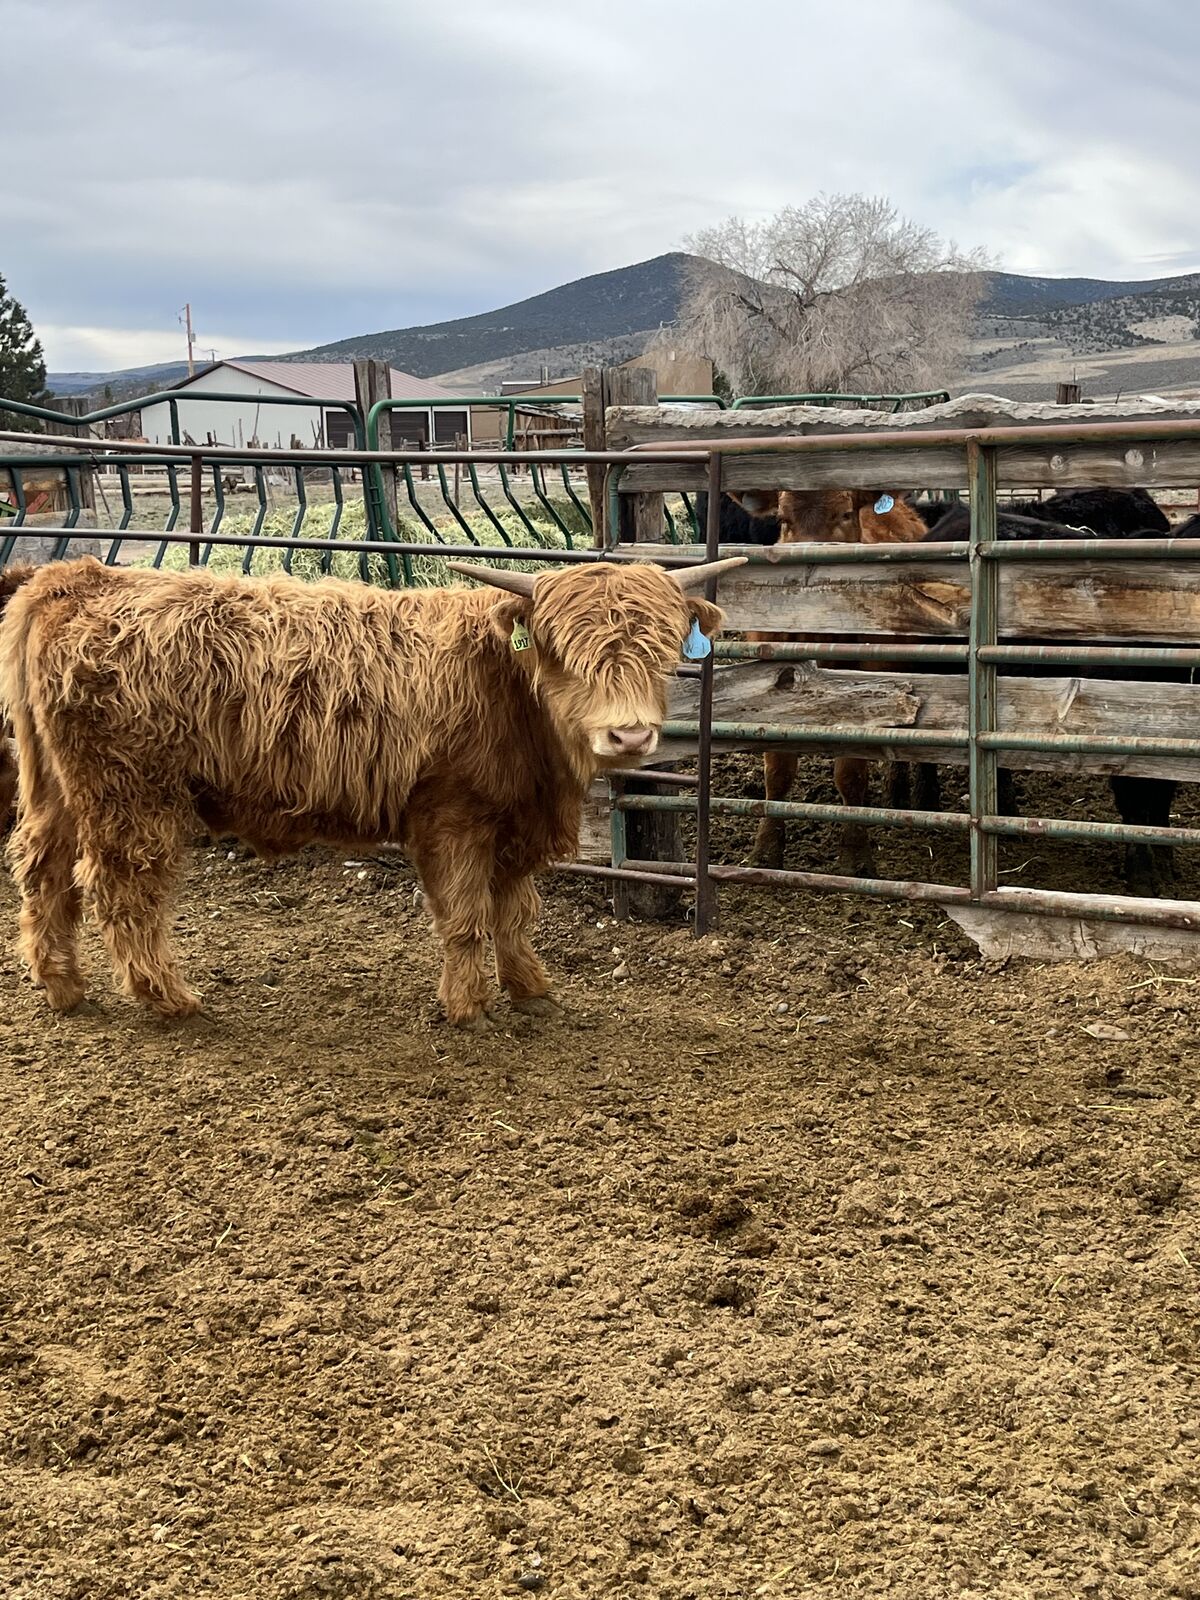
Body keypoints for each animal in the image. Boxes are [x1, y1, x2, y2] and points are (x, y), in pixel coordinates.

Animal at [0, 553, 744, 1027]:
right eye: (567, 653)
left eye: (662, 654)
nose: (629, 735)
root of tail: (75, 577)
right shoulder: (451, 813)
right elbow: (467, 915)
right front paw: (469, 1007)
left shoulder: (513, 822)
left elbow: (512, 912)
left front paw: (530, 988)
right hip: (130, 792)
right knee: (123, 885)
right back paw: (169, 999)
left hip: (56, 788)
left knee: (42, 868)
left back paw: (62, 985)